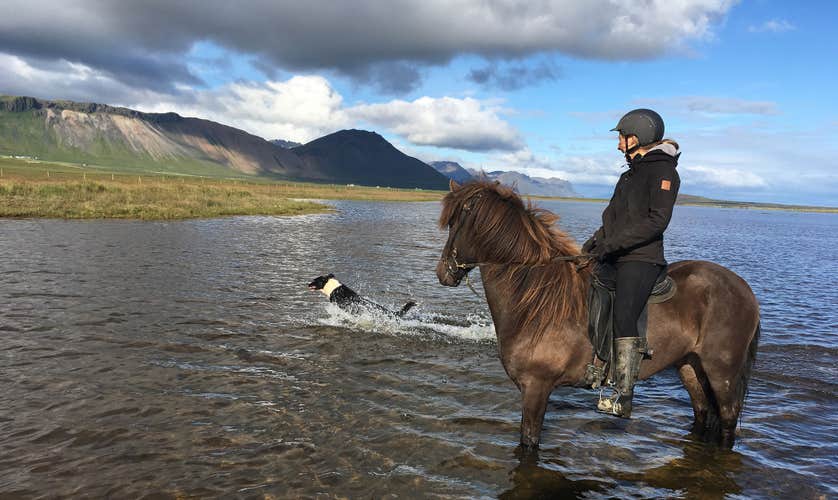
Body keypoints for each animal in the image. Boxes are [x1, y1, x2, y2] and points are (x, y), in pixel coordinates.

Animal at [436, 179, 760, 450]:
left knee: (728, 420)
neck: (534, 300)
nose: (443, 273)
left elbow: (529, 443)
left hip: (722, 371)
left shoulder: (536, 388)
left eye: (454, 223)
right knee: (703, 412)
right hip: (690, 365)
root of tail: (744, 288)